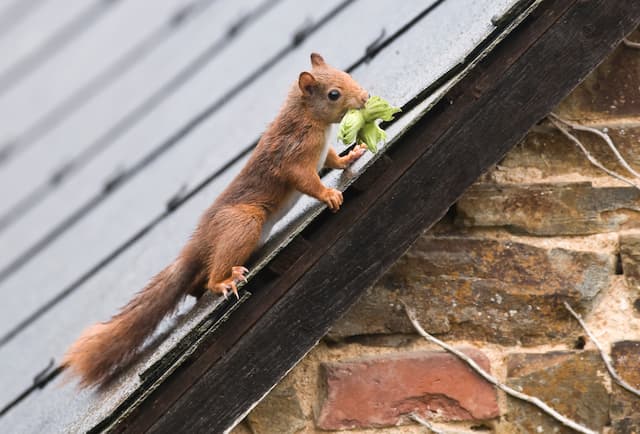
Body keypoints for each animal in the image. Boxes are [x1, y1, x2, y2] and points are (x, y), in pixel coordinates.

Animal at [63, 52, 370, 388]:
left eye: (346, 74)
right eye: (333, 94)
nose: (366, 98)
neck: (306, 119)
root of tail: (198, 244)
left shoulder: (319, 153)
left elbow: (332, 159)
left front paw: (351, 156)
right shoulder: (294, 156)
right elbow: (307, 182)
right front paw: (329, 195)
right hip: (244, 222)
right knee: (211, 279)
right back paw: (226, 280)